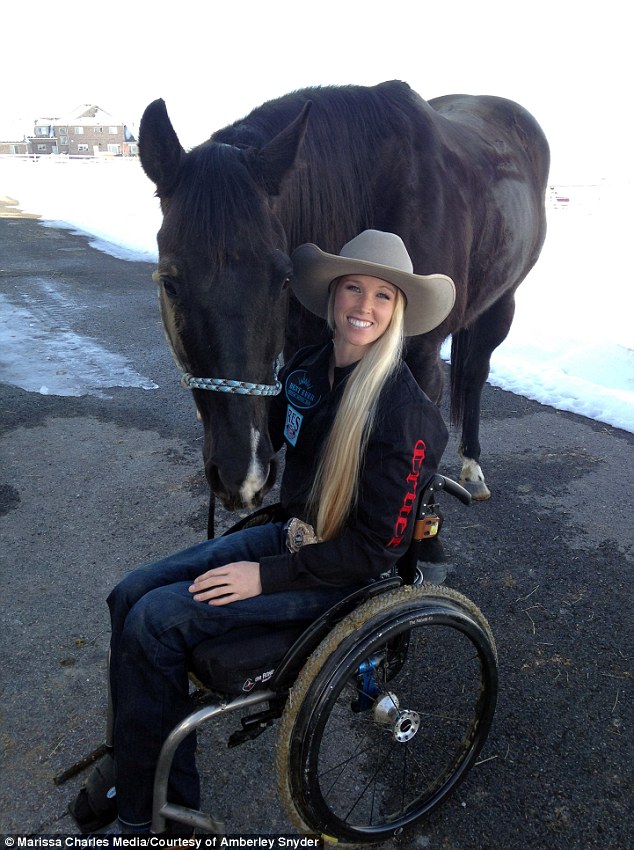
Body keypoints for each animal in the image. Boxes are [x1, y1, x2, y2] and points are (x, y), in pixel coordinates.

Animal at [138, 81, 548, 528]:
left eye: (283, 277)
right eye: (170, 283)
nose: (241, 476)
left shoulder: (421, 361)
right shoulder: (302, 347)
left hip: (502, 303)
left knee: (474, 373)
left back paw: (472, 468)